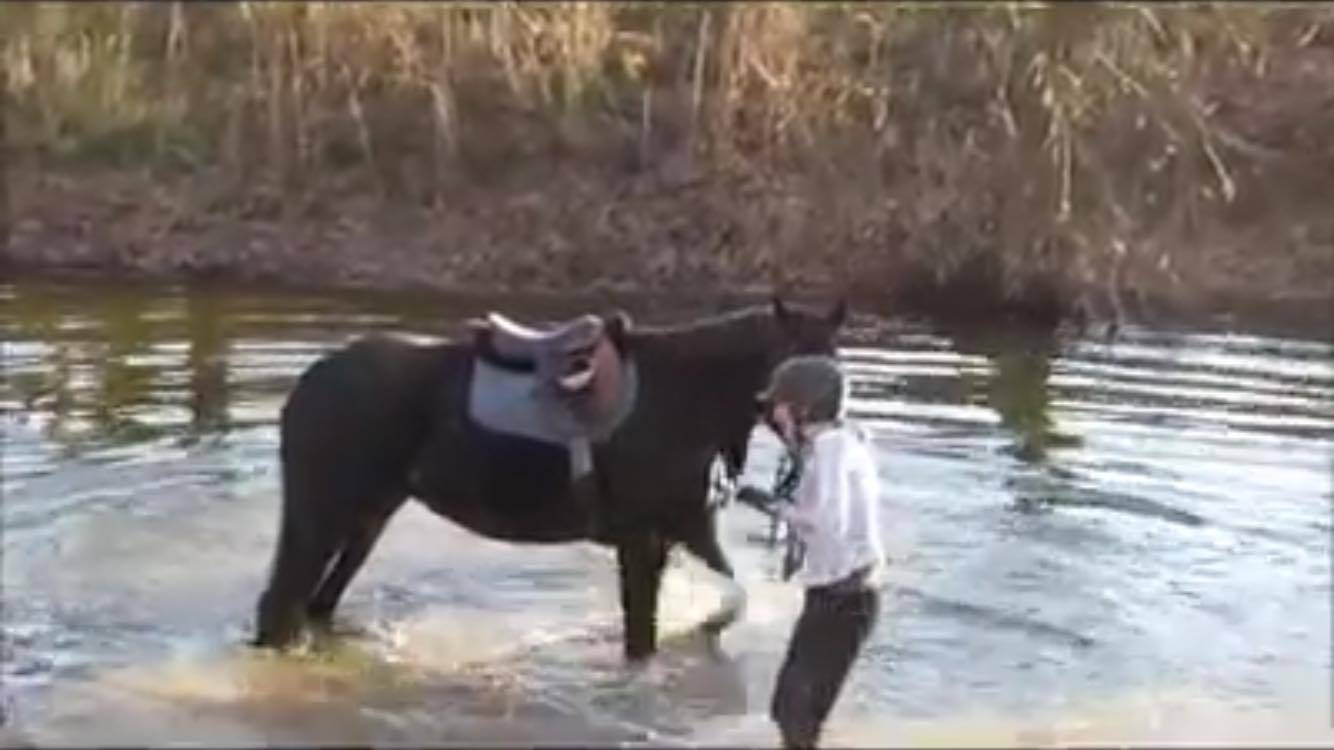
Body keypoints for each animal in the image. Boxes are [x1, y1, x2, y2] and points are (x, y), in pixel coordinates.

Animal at [253, 296, 848, 662]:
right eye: (795, 359)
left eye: (834, 359)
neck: (679, 396)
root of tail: (310, 385)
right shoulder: (640, 540)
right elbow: (642, 636)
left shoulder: (684, 531)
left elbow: (731, 595)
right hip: (320, 518)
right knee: (280, 606)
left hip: (367, 518)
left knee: (315, 605)